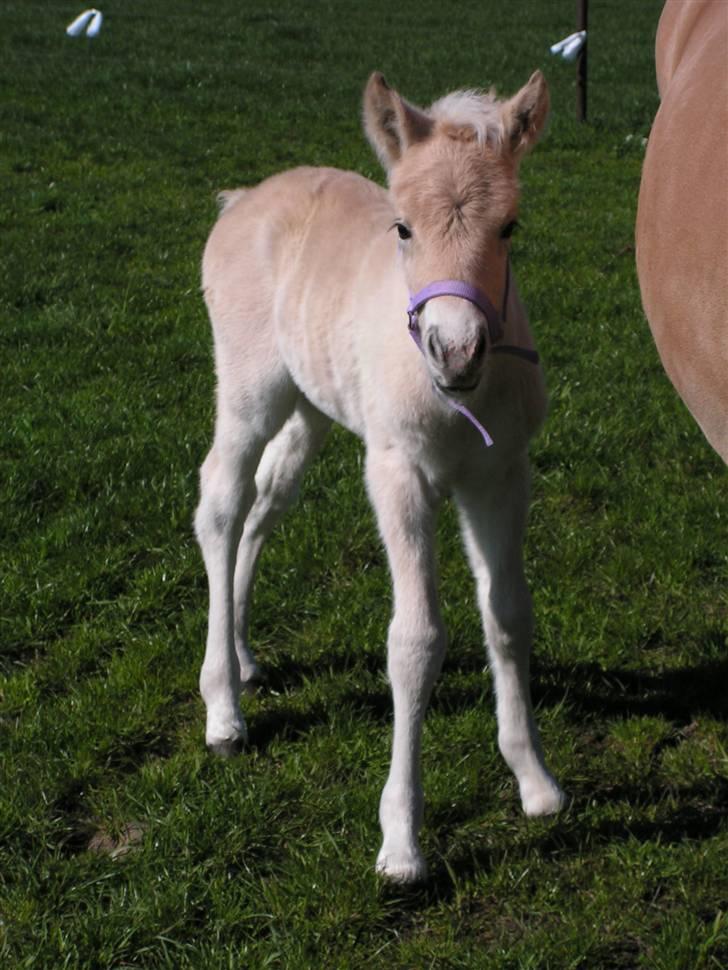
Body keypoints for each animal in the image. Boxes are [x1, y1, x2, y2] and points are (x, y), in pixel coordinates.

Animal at [193, 72, 564, 880]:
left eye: (510, 227)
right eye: (402, 227)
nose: (456, 350)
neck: (457, 399)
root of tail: (243, 199)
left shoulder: (501, 474)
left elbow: (508, 612)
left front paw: (535, 779)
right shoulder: (399, 473)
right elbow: (415, 640)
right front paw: (401, 841)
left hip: (312, 406)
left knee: (266, 503)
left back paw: (243, 655)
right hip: (250, 388)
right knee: (222, 505)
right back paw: (223, 708)